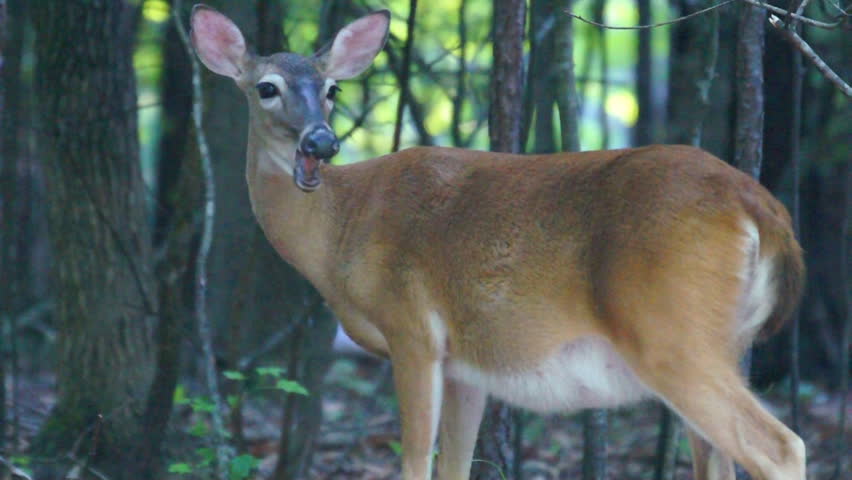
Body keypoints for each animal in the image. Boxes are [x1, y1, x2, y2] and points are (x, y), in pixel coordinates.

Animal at [190, 4, 808, 480]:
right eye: (266, 88)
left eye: (332, 89)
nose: (321, 142)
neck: (342, 229)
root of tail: (762, 206)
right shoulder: (465, 366)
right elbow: (452, 467)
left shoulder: (412, 329)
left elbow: (414, 463)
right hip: (721, 341)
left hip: (671, 332)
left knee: (781, 446)